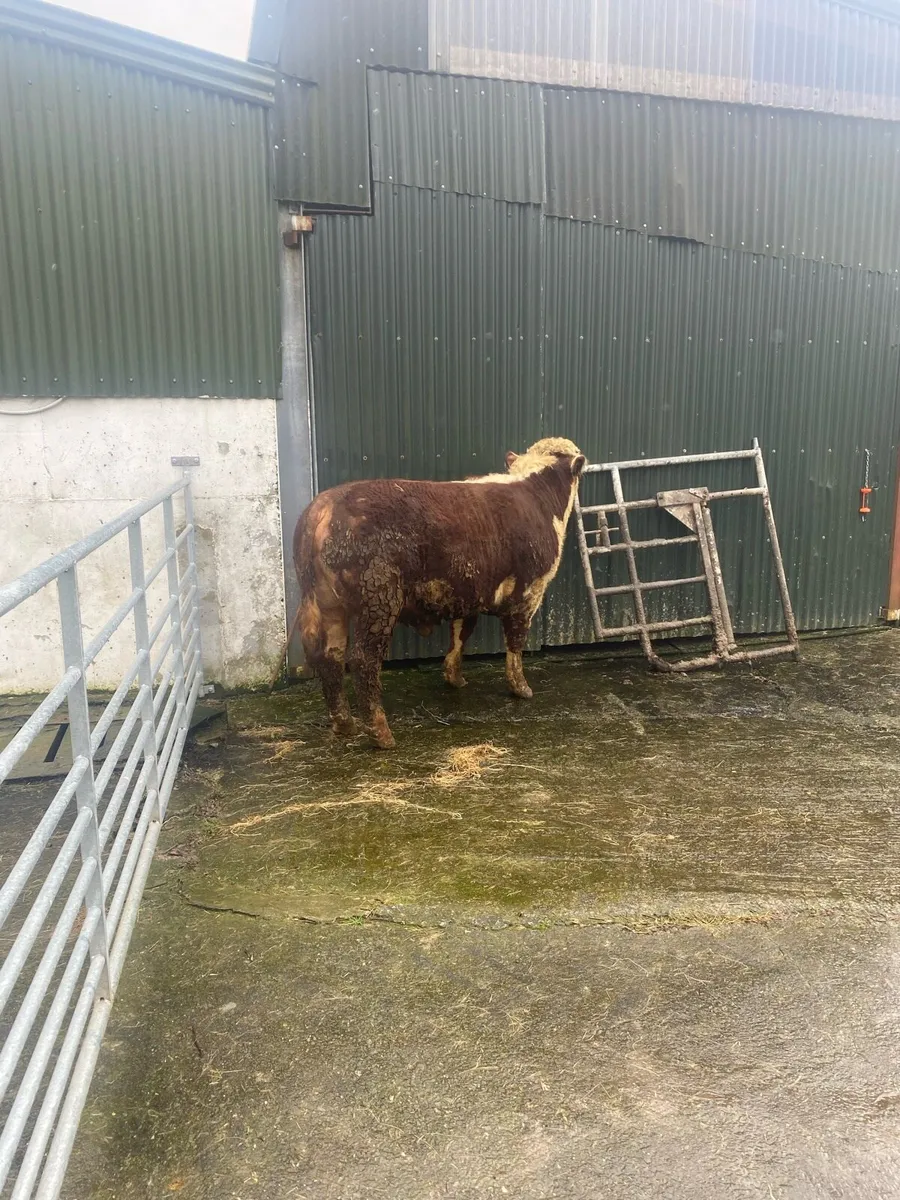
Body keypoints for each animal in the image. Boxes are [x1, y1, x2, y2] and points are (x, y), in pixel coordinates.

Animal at [293, 437, 586, 748]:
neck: (538, 495)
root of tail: (324, 505)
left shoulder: (468, 592)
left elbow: (460, 635)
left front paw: (455, 678)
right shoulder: (530, 590)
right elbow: (515, 641)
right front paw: (521, 688)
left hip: (326, 603)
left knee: (330, 655)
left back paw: (344, 724)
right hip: (377, 599)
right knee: (362, 660)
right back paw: (382, 734)